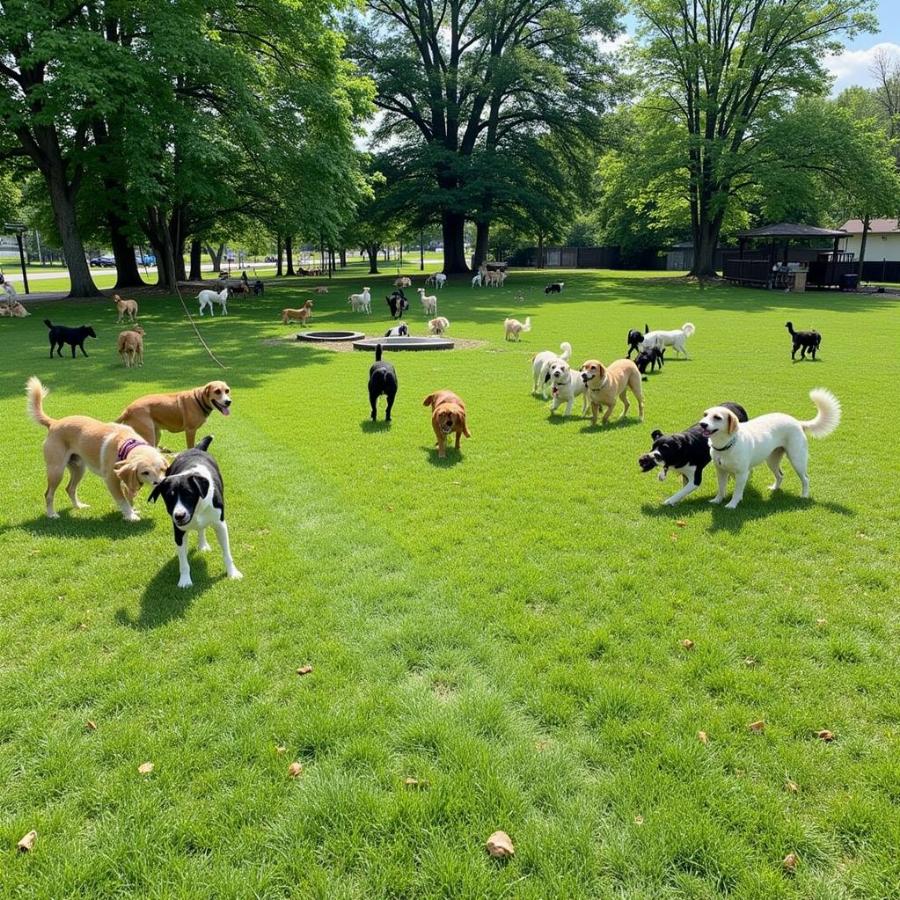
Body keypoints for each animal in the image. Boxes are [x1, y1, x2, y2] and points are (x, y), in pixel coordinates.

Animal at [26, 376, 169, 520]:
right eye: (145, 472)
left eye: (162, 469)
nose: (160, 484)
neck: (126, 444)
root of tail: (54, 423)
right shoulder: (111, 479)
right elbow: (122, 500)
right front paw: (131, 515)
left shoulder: (126, 478)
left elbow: (129, 497)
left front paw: (132, 511)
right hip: (56, 470)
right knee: (48, 494)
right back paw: (52, 514)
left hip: (78, 468)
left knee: (70, 488)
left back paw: (78, 506)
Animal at [149, 436, 244, 592]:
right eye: (169, 497)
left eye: (188, 494)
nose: (179, 516)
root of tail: (195, 449)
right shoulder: (178, 532)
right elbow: (183, 562)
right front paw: (185, 580)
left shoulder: (220, 525)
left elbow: (227, 553)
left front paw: (233, 573)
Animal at [700, 388, 840, 510]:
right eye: (705, 415)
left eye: (717, 417)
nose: (702, 424)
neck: (726, 445)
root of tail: (797, 422)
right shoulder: (721, 471)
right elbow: (721, 488)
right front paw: (717, 500)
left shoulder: (742, 474)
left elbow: (737, 492)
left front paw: (732, 505)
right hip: (772, 460)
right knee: (780, 475)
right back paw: (774, 488)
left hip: (797, 460)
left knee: (805, 479)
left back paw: (804, 495)